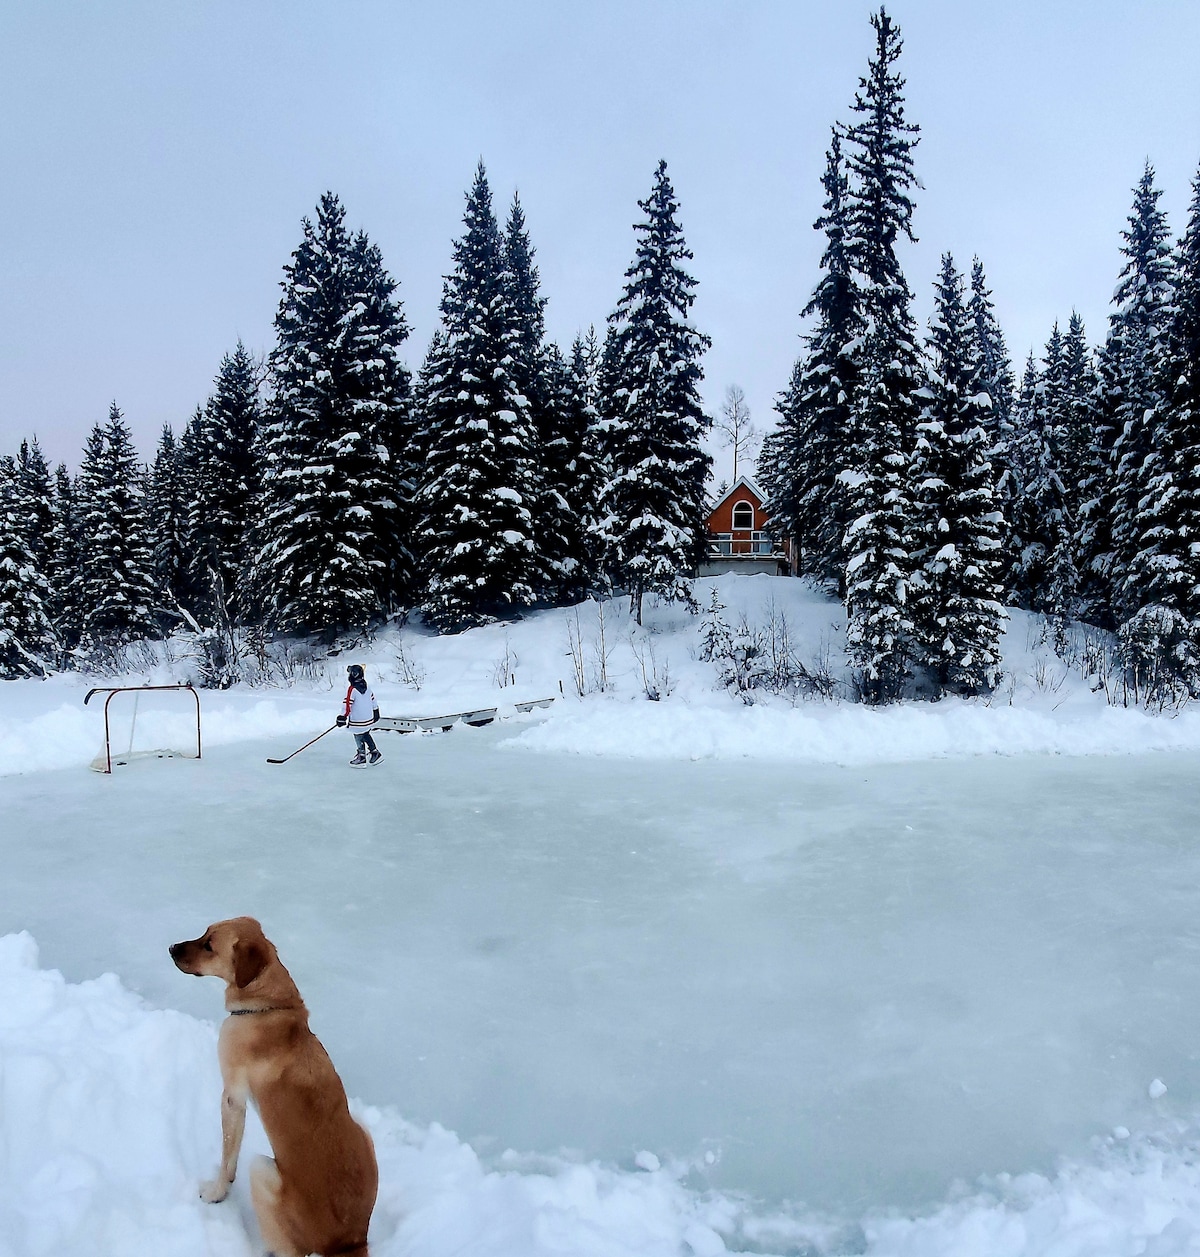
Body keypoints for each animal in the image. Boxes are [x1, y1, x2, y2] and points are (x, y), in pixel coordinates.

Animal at [170, 917, 377, 1257]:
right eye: (204, 932)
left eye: (209, 945)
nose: (171, 948)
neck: (268, 1006)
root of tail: (350, 1242)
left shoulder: (232, 1097)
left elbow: (228, 1158)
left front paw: (216, 1193)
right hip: (362, 1129)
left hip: (262, 1170)